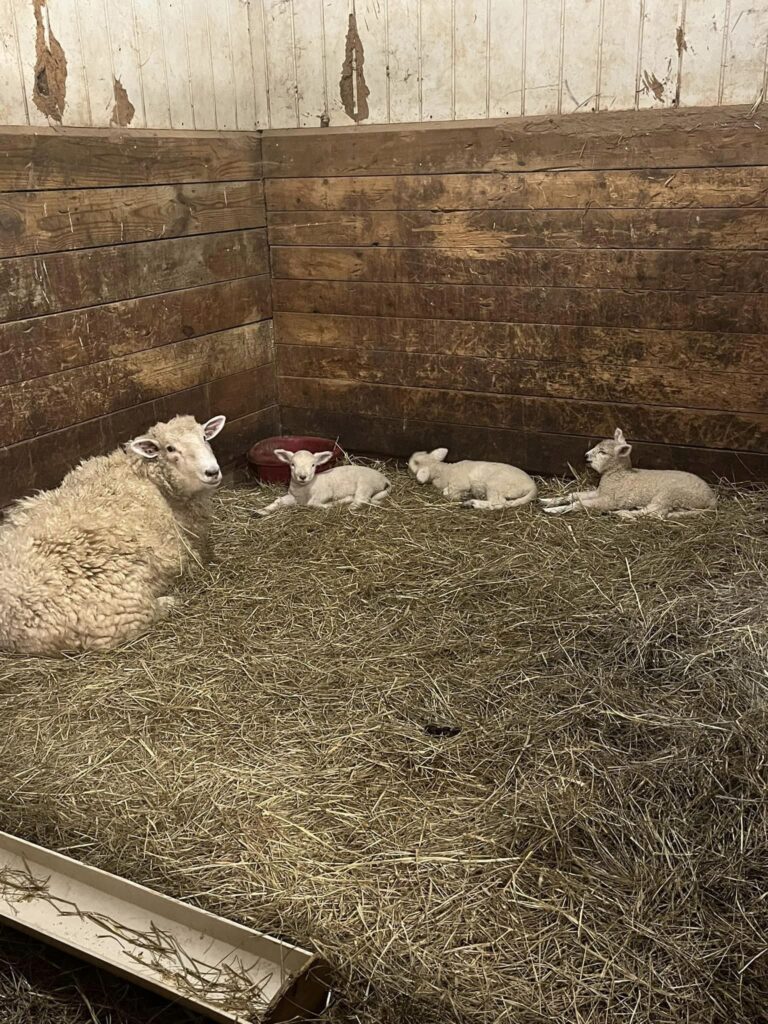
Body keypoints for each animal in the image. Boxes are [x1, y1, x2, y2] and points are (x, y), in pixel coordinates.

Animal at [0, 413, 227, 655]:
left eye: (205, 437)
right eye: (170, 448)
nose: (212, 472)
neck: (143, 475)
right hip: (120, 609)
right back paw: (169, 602)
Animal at [257, 450, 391, 516]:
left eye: (313, 465)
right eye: (292, 464)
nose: (302, 477)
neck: (305, 489)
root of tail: (385, 479)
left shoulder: (325, 493)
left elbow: (312, 503)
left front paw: (329, 505)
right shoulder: (293, 497)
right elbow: (278, 500)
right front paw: (261, 511)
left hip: (365, 485)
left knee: (361, 500)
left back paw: (346, 503)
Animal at [544, 428, 720, 520]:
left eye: (602, 452)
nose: (586, 456)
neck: (618, 475)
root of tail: (712, 499)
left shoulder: (610, 499)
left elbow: (578, 504)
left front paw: (553, 510)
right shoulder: (601, 492)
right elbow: (574, 495)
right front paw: (549, 500)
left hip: (670, 494)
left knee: (654, 513)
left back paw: (622, 513)